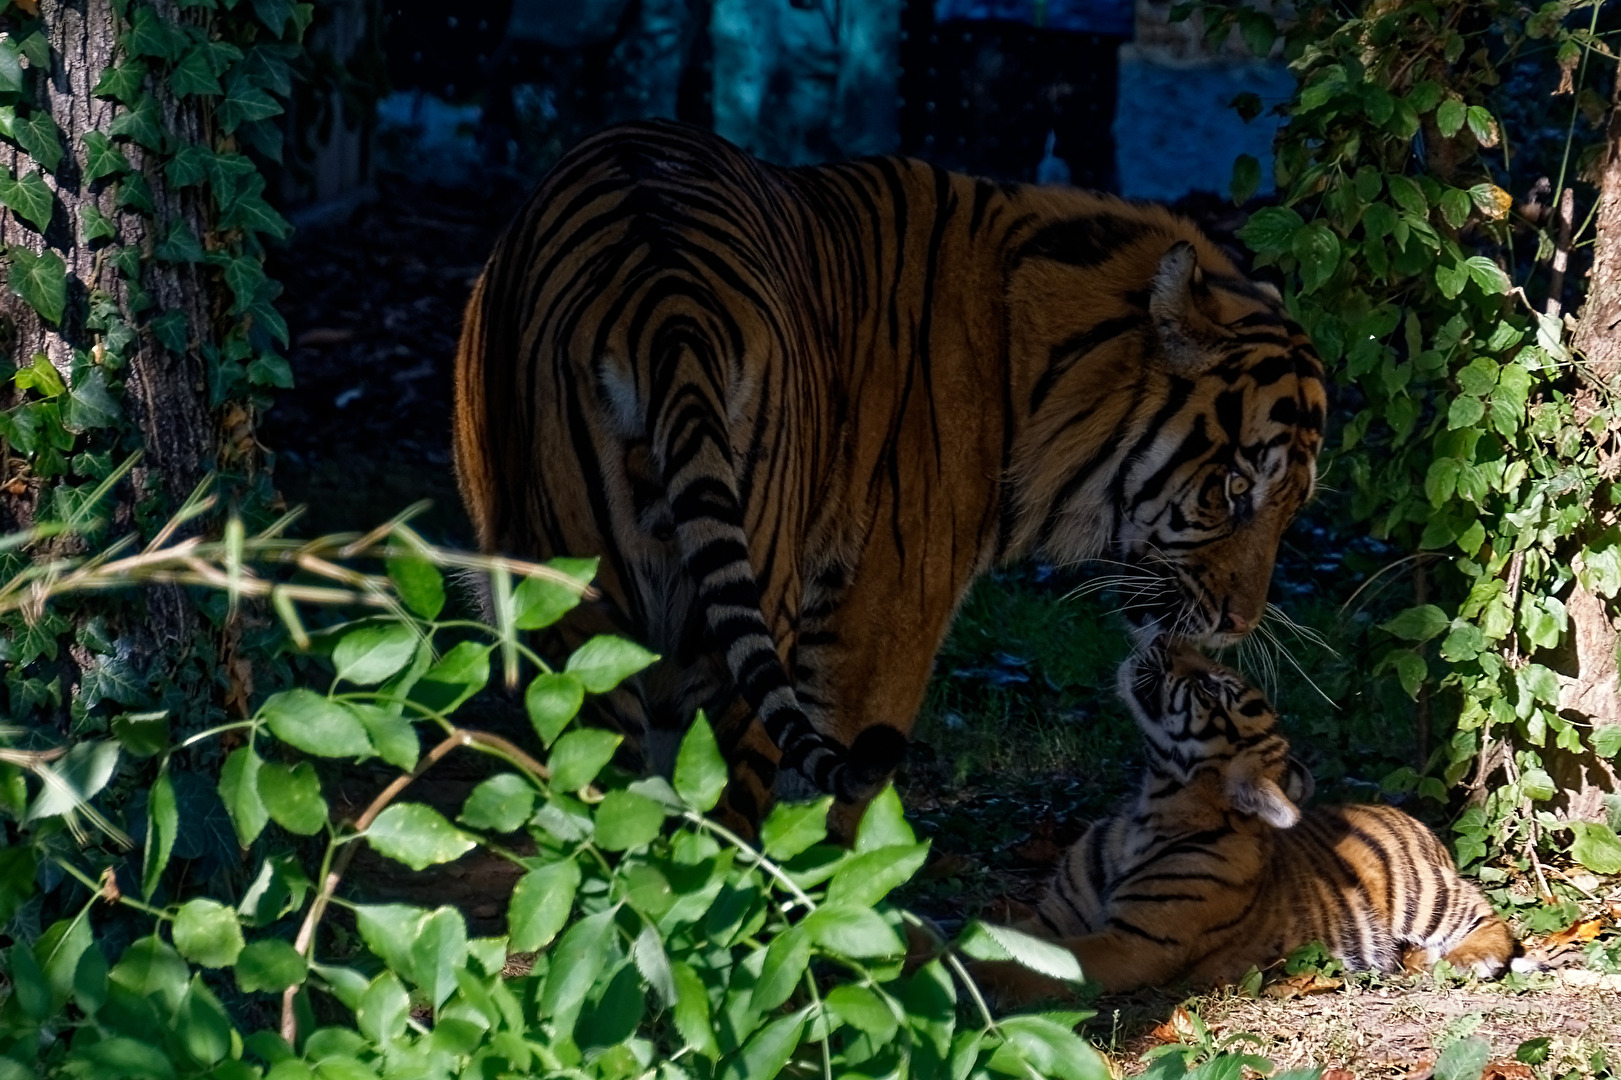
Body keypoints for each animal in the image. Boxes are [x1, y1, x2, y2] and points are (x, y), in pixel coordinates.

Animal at [451, 118, 1327, 834]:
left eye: (1293, 507)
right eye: (1233, 490)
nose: (1238, 625)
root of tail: (664, 299)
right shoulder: (885, 606)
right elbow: (837, 803)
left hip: (577, 600)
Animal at [976, 637, 1517, 1000]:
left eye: (1210, 687)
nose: (1163, 637)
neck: (1150, 810)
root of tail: (1410, 818)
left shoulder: (1134, 945)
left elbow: (1029, 966)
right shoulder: (1054, 915)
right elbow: (996, 939)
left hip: (1423, 894)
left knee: (1489, 915)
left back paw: (1469, 957)